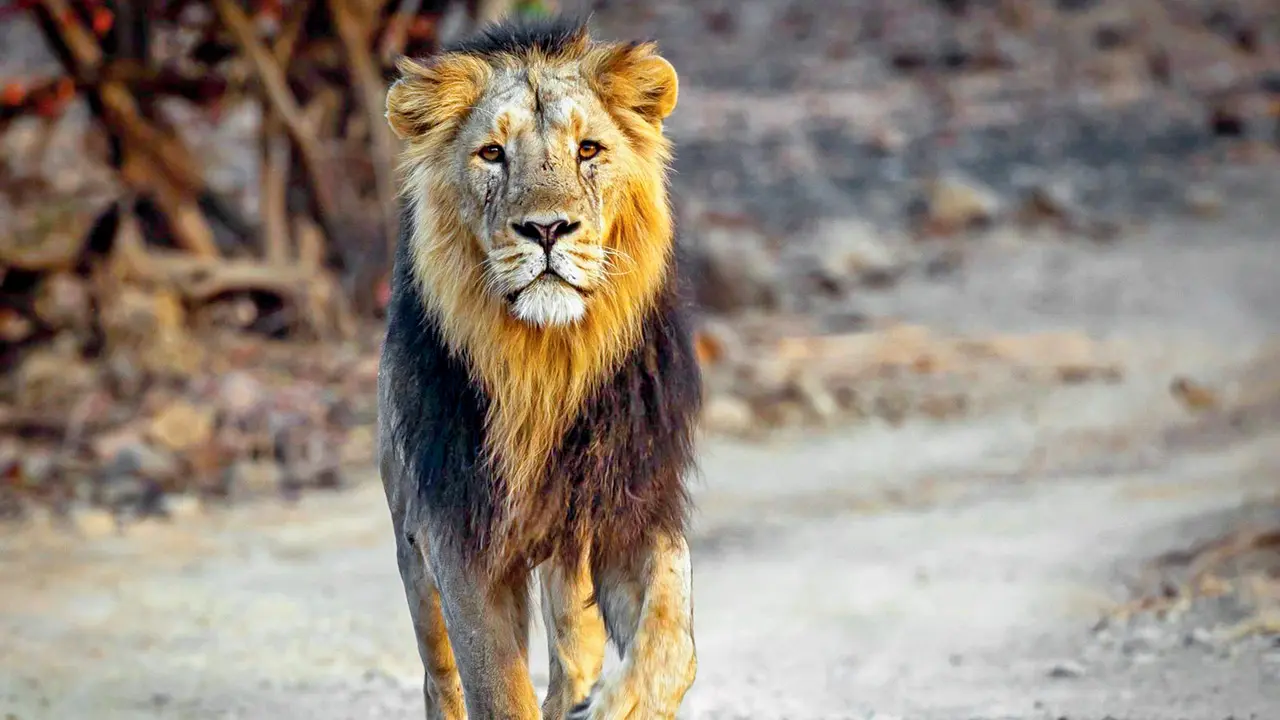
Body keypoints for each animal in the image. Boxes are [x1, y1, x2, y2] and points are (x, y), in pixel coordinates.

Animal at [377, 15, 702, 720]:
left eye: (588, 150)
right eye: (492, 154)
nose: (548, 229)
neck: (546, 363)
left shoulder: (632, 505)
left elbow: (670, 646)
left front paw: (617, 704)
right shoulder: (456, 536)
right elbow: (498, 690)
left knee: (576, 654)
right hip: (411, 546)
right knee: (440, 676)